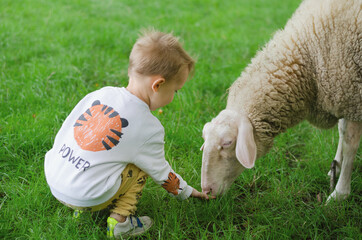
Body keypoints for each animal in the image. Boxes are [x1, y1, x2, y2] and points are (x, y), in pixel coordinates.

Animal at [201, 0, 362, 202]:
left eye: (228, 143)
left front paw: (339, 194)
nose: (206, 191)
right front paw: (336, 167)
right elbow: (342, 133)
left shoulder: (353, 99)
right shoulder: (344, 97)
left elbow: (350, 146)